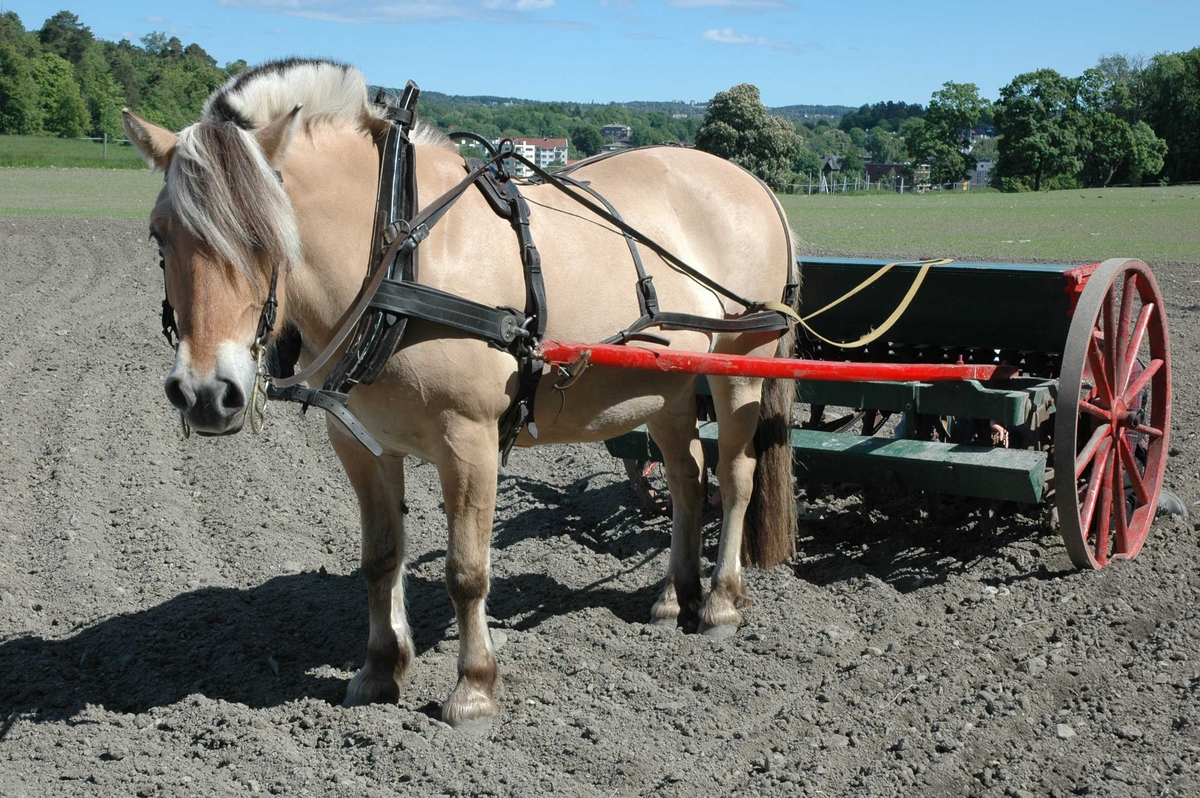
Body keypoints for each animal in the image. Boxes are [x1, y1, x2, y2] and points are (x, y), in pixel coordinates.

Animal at [121, 59, 801, 724]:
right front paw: (379, 670)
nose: (206, 393)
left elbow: (466, 571)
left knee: (734, 477)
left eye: (267, 236)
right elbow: (380, 558)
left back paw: (720, 603)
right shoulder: (359, 443)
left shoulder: (469, 441)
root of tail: (756, 184)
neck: (399, 257)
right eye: (158, 235)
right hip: (666, 386)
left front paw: (473, 688)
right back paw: (671, 597)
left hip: (742, 365)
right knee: (688, 476)